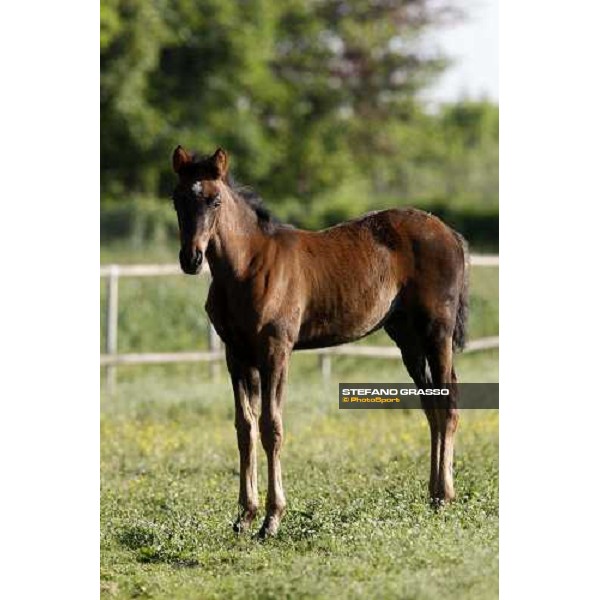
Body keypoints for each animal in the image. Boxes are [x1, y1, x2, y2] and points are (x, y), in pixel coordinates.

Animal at [170, 146, 468, 540]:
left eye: (214, 200)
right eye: (177, 199)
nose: (191, 259)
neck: (247, 265)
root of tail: (450, 233)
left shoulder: (276, 350)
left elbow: (271, 426)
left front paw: (271, 519)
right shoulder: (236, 355)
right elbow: (244, 428)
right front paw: (244, 516)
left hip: (437, 332)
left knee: (448, 404)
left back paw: (445, 496)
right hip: (407, 339)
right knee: (431, 405)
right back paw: (432, 496)